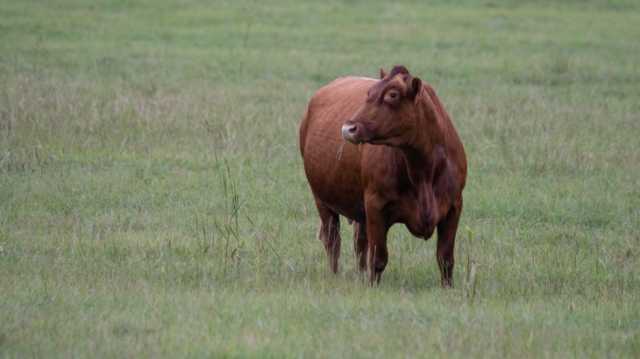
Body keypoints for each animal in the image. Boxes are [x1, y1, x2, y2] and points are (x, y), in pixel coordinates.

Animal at [300, 66, 464, 288]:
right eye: (369, 93)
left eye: (392, 95)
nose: (348, 128)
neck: (423, 172)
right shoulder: (375, 205)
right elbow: (378, 258)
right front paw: (373, 287)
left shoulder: (454, 206)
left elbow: (445, 258)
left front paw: (448, 288)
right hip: (322, 200)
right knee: (333, 241)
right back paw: (335, 275)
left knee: (359, 242)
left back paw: (360, 274)